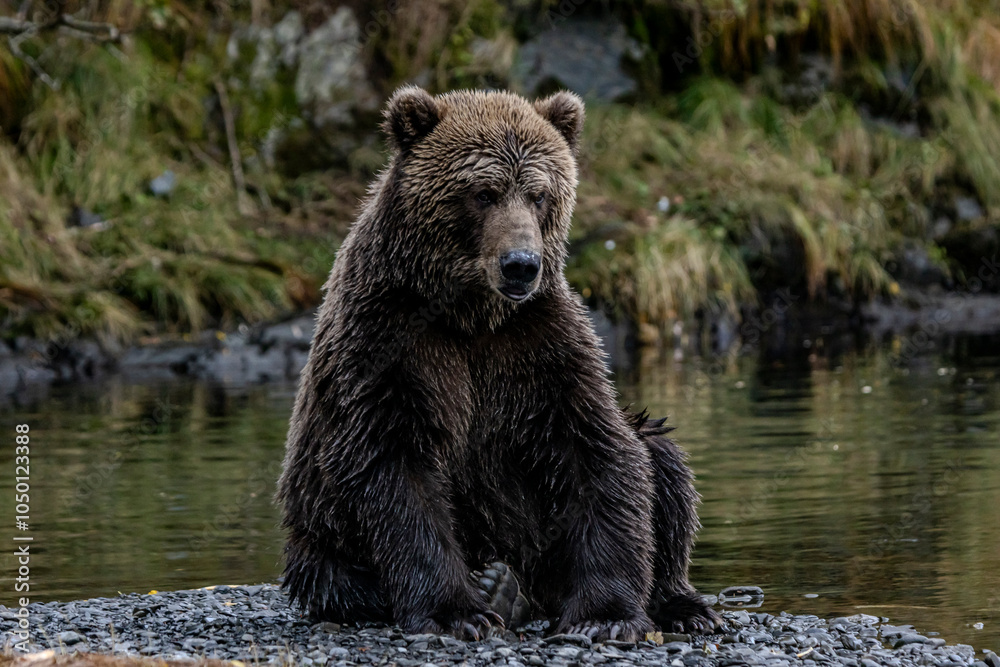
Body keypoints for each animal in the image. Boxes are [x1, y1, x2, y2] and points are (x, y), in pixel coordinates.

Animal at [276, 86, 721, 642]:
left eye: (539, 193)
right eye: (483, 192)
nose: (521, 265)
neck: (470, 314)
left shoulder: (540, 344)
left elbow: (598, 450)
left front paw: (605, 615)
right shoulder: (386, 342)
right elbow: (394, 467)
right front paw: (457, 611)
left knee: (664, 462)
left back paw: (680, 604)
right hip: (316, 525)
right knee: (333, 576)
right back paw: (496, 585)